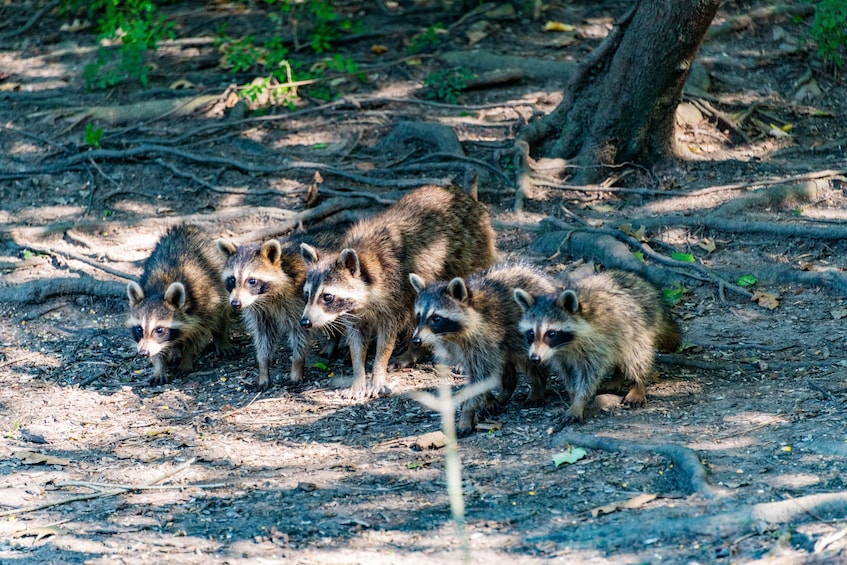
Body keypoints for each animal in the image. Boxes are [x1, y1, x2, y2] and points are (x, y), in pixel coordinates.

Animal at [126, 223, 232, 386]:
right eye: (139, 329)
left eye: (159, 330)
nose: (144, 353)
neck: (160, 289)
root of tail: (185, 227)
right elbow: (159, 351)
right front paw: (159, 366)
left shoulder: (204, 307)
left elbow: (198, 336)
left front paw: (187, 359)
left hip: (219, 285)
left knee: (221, 315)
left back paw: (220, 338)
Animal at [300, 184, 496, 396]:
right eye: (307, 294)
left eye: (327, 297)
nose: (305, 322)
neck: (366, 260)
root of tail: (465, 195)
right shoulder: (353, 311)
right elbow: (356, 338)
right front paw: (358, 375)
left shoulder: (394, 296)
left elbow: (387, 337)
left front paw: (378, 371)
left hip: (472, 253)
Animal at [410, 264, 556, 436]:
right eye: (418, 316)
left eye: (436, 318)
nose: (416, 340)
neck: (452, 334)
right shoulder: (462, 347)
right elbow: (478, 374)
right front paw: (487, 399)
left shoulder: (484, 337)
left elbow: (481, 374)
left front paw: (467, 413)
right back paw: (507, 389)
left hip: (529, 336)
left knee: (529, 360)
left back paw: (538, 385)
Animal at [510, 268, 684, 424]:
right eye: (531, 333)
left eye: (551, 333)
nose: (535, 358)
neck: (565, 345)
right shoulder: (560, 356)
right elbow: (569, 375)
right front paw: (573, 396)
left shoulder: (596, 345)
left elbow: (589, 375)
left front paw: (579, 402)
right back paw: (618, 375)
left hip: (637, 329)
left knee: (637, 356)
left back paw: (638, 383)